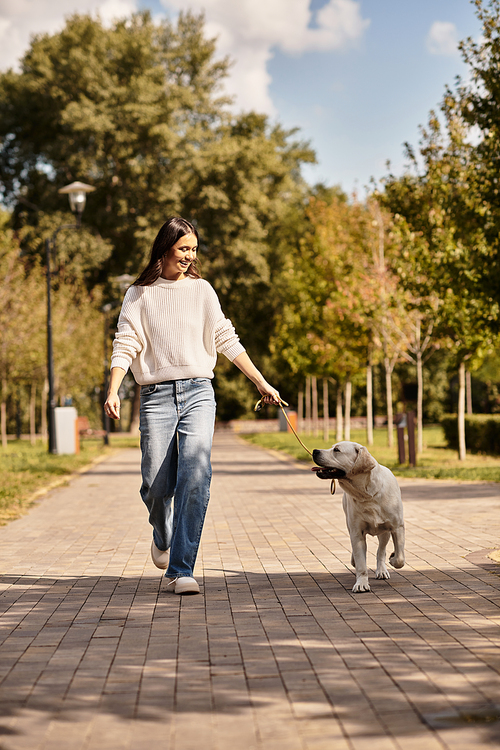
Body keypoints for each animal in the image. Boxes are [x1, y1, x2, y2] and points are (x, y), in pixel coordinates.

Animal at [314, 440, 404, 592]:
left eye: (336, 450)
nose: (315, 451)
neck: (367, 494)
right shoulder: (356, 532)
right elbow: (361, 562)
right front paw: (361, 583)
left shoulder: (397, 527)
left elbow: (400, 558)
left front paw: (393, 558)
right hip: (349, 525)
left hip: (384, 532)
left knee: (381, 551)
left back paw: (382, 570)